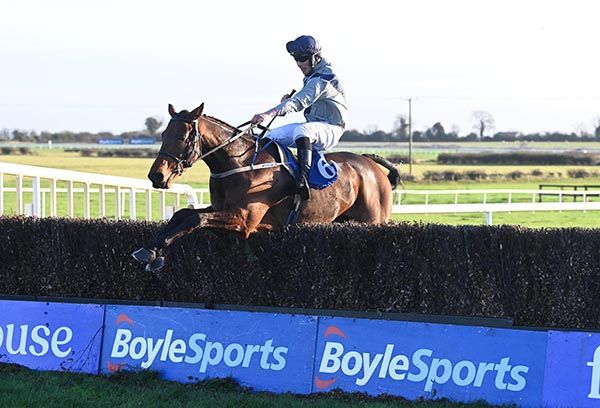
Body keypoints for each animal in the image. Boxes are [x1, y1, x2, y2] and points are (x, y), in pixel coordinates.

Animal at [131, 103, 398, 270]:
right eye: (163, 134)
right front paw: (150, 250)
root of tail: (374, 166)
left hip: (374, 220)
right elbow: (183, 214)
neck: (239, 163)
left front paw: (155, 250)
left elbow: (194, 219)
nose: (157, 175)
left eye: (182, 137)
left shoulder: (244, 220)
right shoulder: (222, 210)